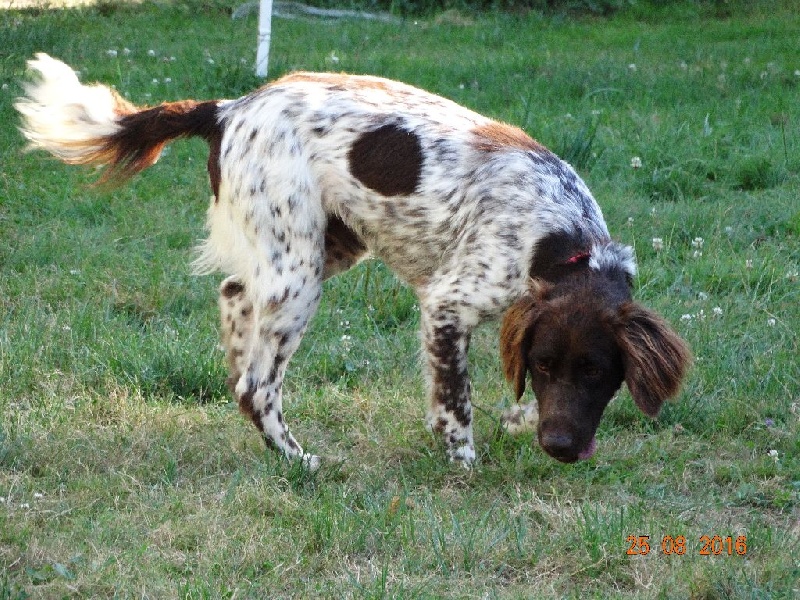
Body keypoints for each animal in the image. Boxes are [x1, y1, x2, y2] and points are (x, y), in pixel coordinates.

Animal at [15, 55, 692, 468]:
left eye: (596, 372)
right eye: (547, 364)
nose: (560, 448)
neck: (559, 239)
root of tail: (227, 107)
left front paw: (520, 419)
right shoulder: (448, 306)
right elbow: (455, 404)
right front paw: (464, 463)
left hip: (324, 246)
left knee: (235, 300)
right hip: (300, 271)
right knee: (257, 386)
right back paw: (297, 458)